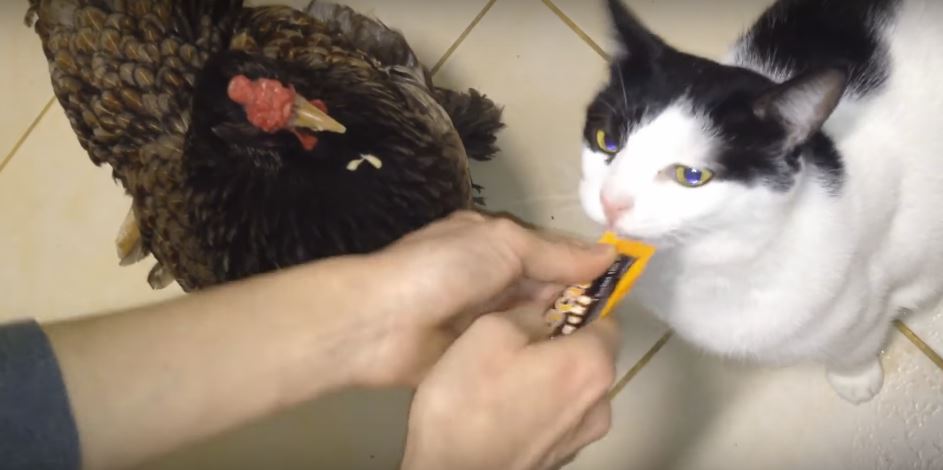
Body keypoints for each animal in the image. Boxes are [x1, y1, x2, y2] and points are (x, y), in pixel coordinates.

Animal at [580, 0, 943, 404]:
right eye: (606, 140)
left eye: (692, 176)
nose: (611, 202)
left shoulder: (865, 299)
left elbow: (857, 343)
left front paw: (855, 379)